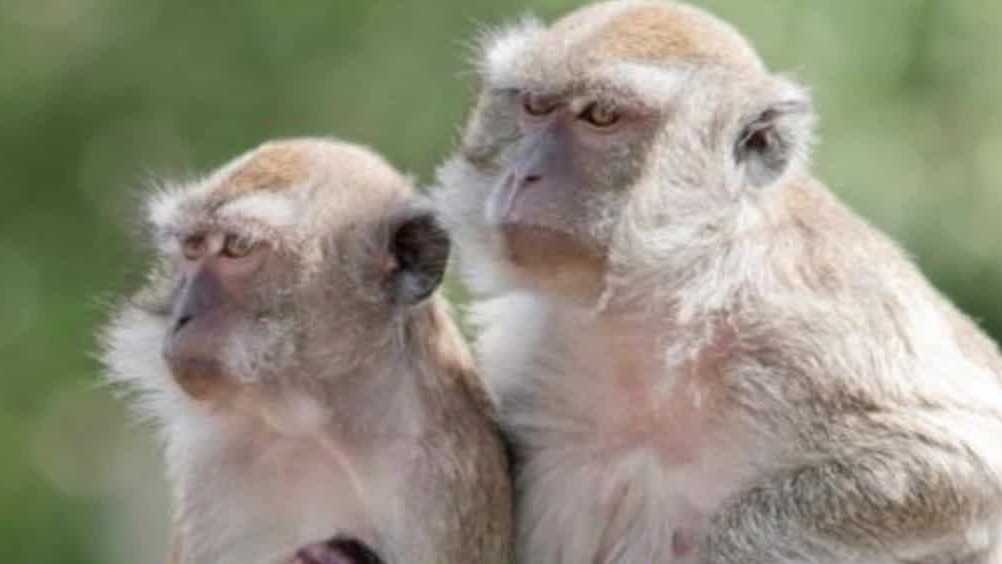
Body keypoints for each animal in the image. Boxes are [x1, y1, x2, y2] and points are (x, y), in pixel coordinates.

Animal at [434, 1, 1002, 562]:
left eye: (600, 115)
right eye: (534, 106)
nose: (522, 175)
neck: (670, 295)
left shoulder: (810, 331)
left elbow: (961, 466)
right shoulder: (531, 351)